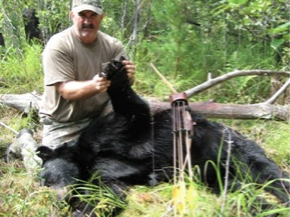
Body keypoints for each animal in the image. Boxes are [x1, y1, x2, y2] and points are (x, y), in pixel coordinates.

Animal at [36, 58, 290, 217]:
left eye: (48, 178)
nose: (58, 200)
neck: (85, 158)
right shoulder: (104, 174)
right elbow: (110, 196)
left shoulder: (110, 131)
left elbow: (132, 109)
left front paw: (115, 71)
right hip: (213, 175)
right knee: (243, 192)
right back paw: (270, 209)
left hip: (235, 146)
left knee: (271, 174)